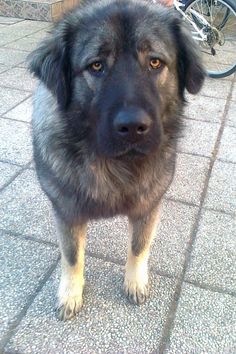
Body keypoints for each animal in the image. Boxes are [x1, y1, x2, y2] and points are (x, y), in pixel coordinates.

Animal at [28, 0, 205, 320]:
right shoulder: (67, 211)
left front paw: (135, 281)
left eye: (155, 63)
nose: (133, 126)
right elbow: (72, 256)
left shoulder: (149, 206)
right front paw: (70, 293)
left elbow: (139, 246)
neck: (114, 165)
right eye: (96, 65)